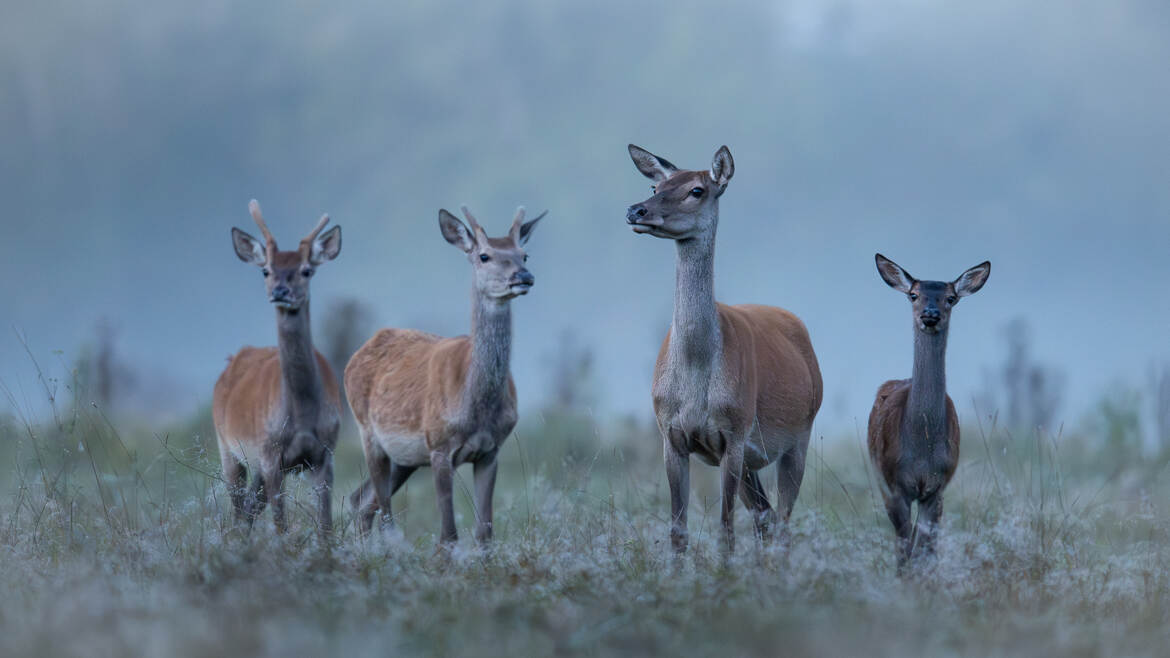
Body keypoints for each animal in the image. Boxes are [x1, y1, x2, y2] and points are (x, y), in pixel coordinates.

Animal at [211, 201, 341, 538]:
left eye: (306, 270)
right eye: (266, 270)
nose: (280, 291)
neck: (302, 415)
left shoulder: (325, 453)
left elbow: (326, 527)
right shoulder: (270, 454)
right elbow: (281, 526)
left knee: (249, 511)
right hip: (227, 448)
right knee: (239, 511)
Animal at [343, 203, 545, 543]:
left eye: (524, 254)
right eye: (484, 256)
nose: (524, 277)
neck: (474, 404)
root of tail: (353, 359)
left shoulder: (491, 450)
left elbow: (484, 532)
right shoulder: (439, 446)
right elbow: (448, 535)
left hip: (404, 458)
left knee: (362, 500)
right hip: (368, 432)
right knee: (382, 511)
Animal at [622, 144, 823, 552]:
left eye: (697, 190)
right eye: (655, 187)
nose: (636, 210)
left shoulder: (734, 432)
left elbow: (725, 529)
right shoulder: (670, 434)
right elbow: (678, 530)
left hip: (799, 436)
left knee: (782, 521)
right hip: (752, 460)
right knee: (765, 516)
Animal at [865, 250, 992, 569]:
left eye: (951, 298)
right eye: (913, 294)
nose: (930, 315)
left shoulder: (938, 487)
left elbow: (926, 549)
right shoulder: (895, 484)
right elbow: (905, 547)